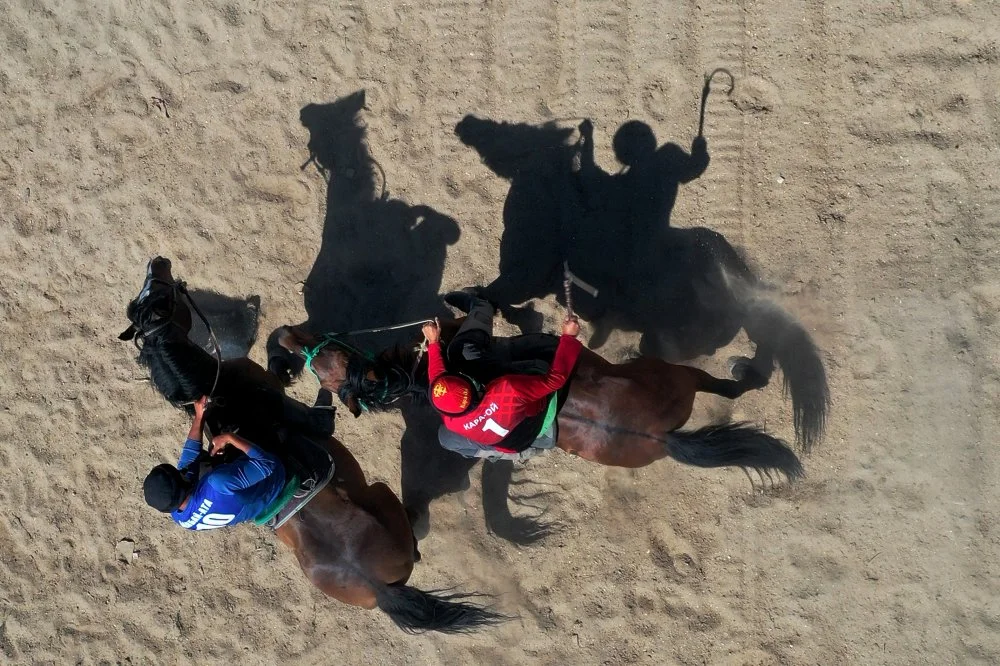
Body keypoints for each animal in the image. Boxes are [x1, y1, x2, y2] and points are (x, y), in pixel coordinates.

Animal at [274, 318, 804, 478]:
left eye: (330, 357)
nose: (283, 335)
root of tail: (662, 437)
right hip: (673, 375)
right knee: (726, 386)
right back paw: (748, 369)